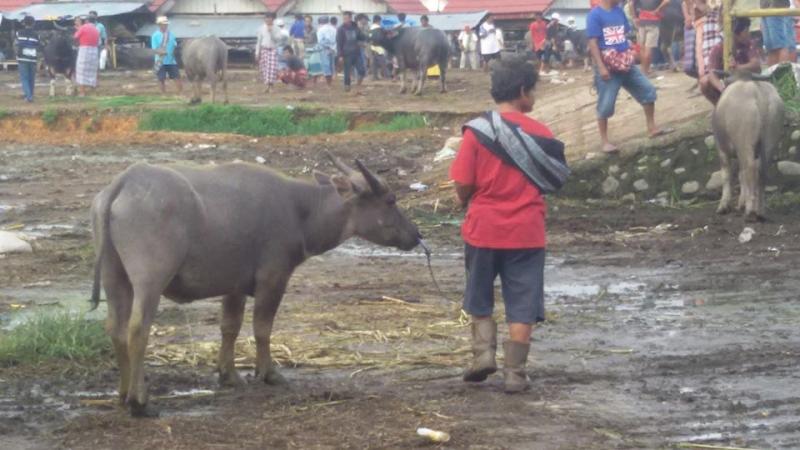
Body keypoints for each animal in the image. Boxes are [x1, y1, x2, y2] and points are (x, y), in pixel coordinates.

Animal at [90, 156, 422, 416]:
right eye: (391, 200)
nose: (416, 234)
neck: (301, 210)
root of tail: (126, 181)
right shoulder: (273, 279)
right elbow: (263, 327)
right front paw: (269, 373)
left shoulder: (234, 285)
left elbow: (230, 327)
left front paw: (229, 375)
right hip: (149, 280)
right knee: (138, 330)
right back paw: (140, 402)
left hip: (114, 277)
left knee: (116, 328)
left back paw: (122, 395)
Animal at [708, 73, 784, 221]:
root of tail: (756, 89)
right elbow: (740, 175)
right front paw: (741, 203)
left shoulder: (721, 149)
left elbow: (727, 175)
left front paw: (724, 206)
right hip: (769, 138)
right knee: (761, 171)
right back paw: (760, 212)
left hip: (744, 141)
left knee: (750, 169)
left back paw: (750, 212)